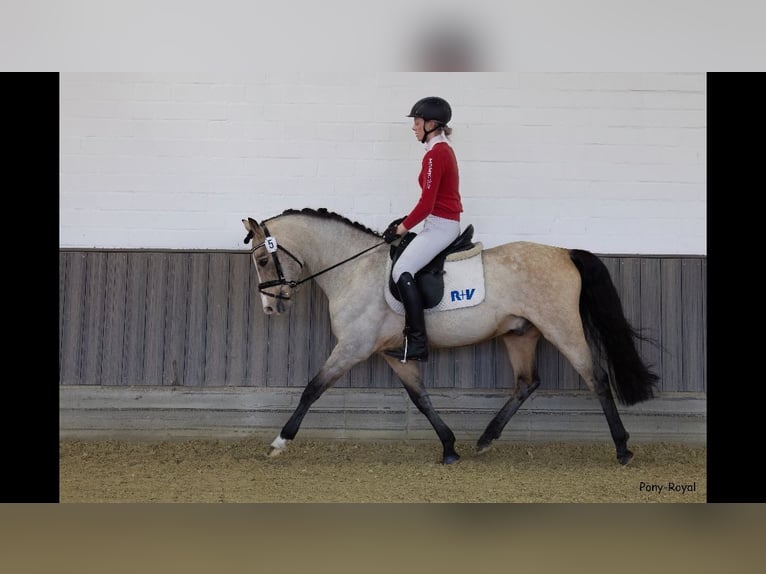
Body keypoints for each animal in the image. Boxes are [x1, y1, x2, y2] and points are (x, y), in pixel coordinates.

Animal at [242, 208, 660, 468]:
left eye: (262, 260)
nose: (270, 308)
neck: (355, 268)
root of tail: (564, 252)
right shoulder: (393, 354)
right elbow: (421, 399)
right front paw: (449, 447)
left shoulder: (352, 348)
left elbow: (312, 389)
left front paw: (279, 442)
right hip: (520, 334)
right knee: (527, 382)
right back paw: (485, 440)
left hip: (562, 327)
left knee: (596, 378)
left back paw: (623, 449)